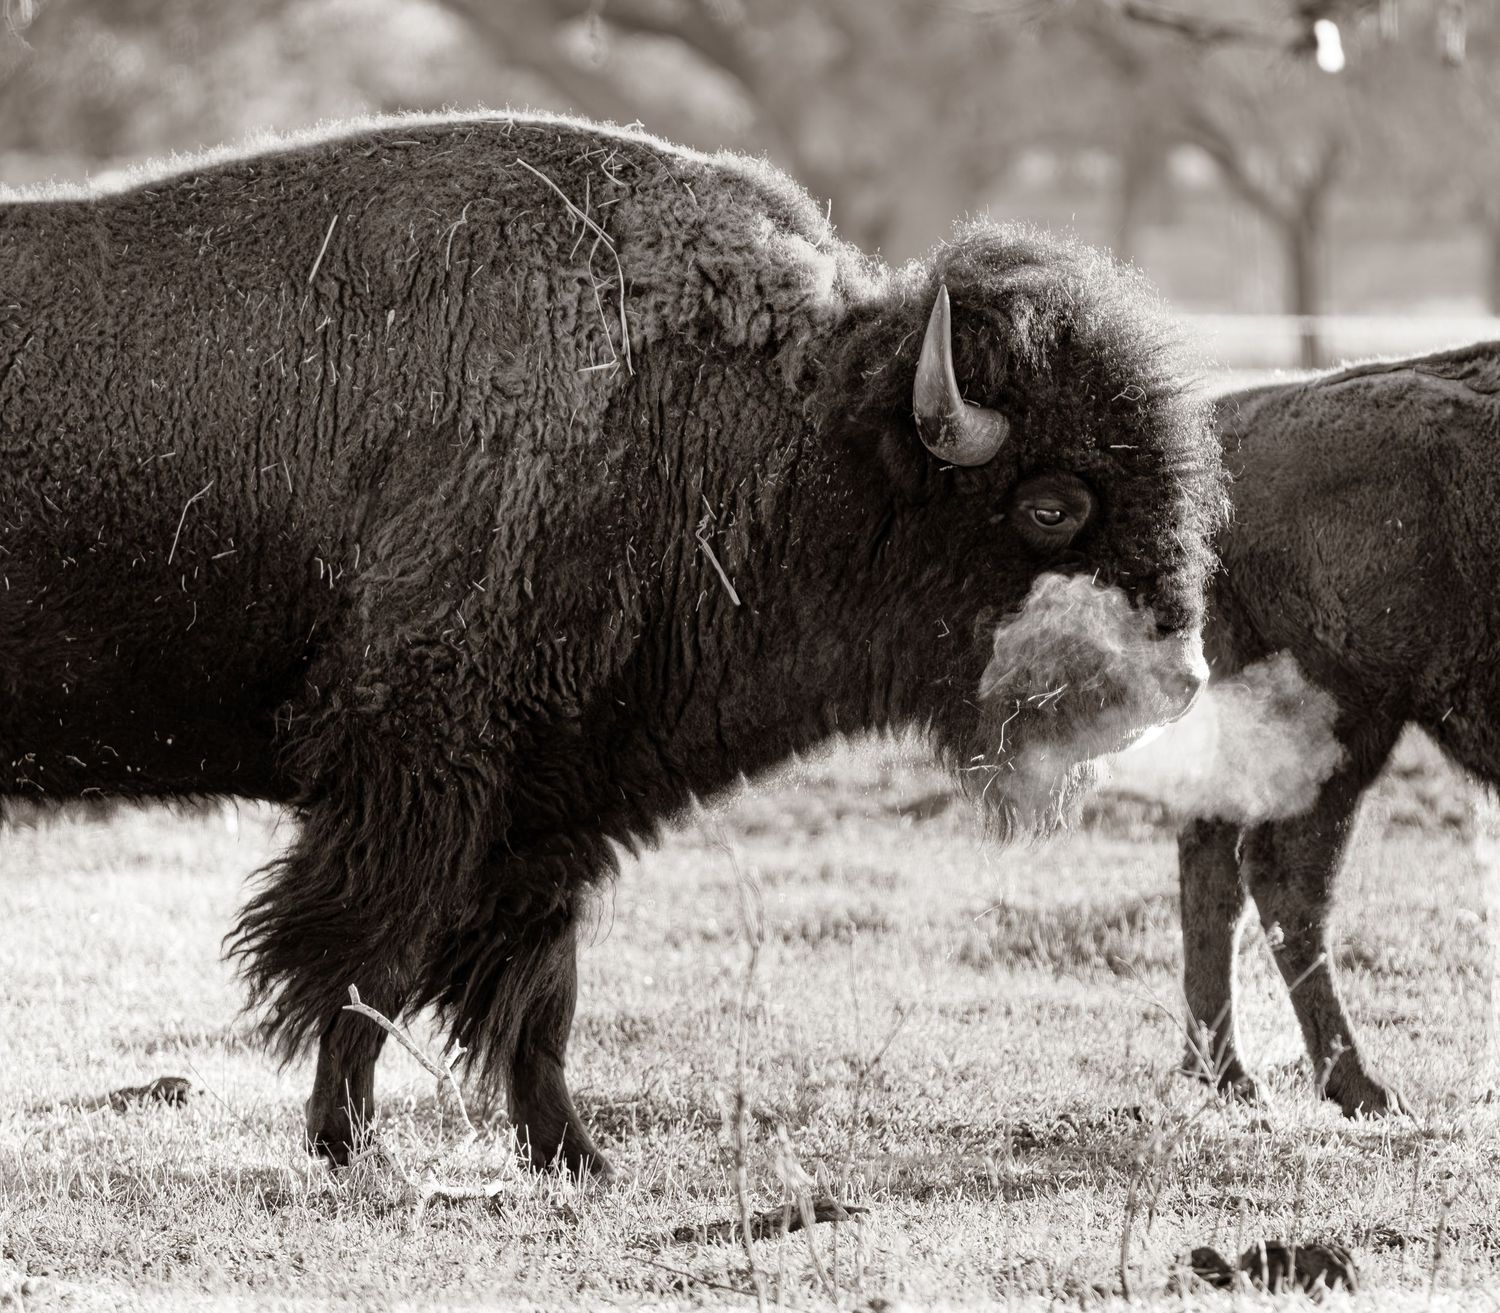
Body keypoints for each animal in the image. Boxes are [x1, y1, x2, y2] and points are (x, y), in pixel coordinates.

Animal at [1, 113, 1222, 1175]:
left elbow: (536, 999)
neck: (774, 425)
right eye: (1052, 506)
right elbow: (367, 969)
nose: (1178, 676)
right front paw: (349, 1147)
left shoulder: (552, 807)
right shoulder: (416, 779)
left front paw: (577, 1155)